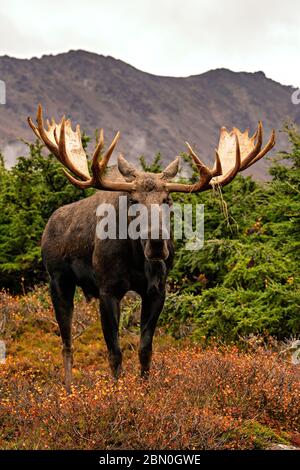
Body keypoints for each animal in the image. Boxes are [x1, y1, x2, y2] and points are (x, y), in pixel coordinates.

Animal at [27, 104, 274, 392]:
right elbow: (114, 352)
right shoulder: (108, 289)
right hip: (58, 281)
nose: (157, 242)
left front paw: (145, 391)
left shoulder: (157, 290)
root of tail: (48, 226)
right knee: (66, 342)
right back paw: (68, 390)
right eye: (133, 200)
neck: (136, 259)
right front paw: (117, 392)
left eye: (167, 199)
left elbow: (145, 349)